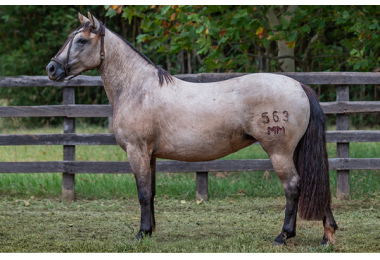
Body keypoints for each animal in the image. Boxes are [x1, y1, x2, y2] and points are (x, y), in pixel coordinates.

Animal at [45, 10, 338, 246]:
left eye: (81, 41)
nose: (51, 69)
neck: (138, 89)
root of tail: (300, 86)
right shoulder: (150, 155)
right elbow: (151, 192)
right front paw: (151, 231)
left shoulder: (136, 151)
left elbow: (142, 193)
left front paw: (141, 234)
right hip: (295, 152)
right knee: (315, 185)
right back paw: (327, 235)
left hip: (279, 153)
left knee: (293, 186)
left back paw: (283, 235)